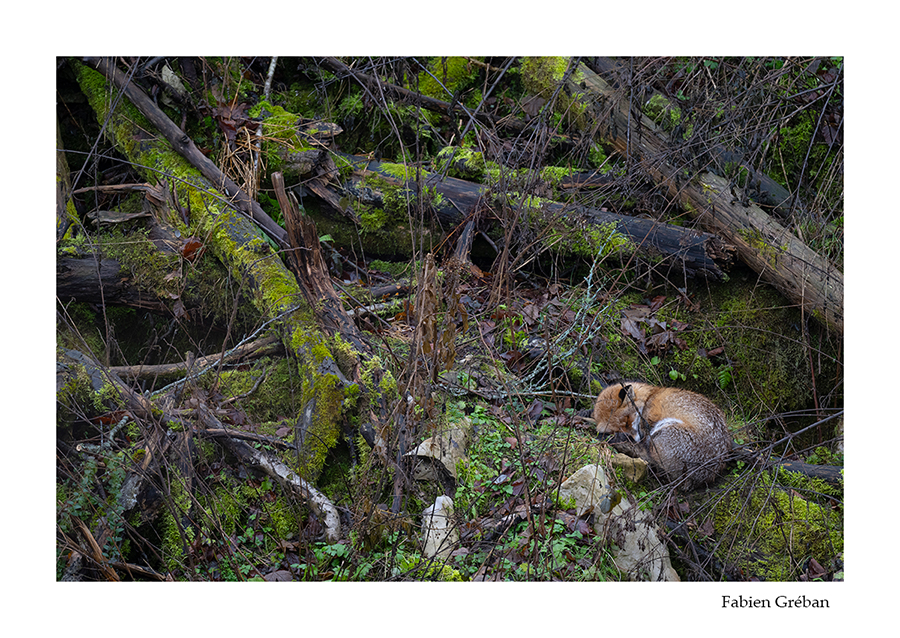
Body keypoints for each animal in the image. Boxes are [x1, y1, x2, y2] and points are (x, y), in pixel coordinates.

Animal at [593, 382, 732, 488]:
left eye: (627, 420)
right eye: (617, 429)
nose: (634, 439)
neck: (648, 397)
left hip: (664, 427)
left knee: (647, 456)